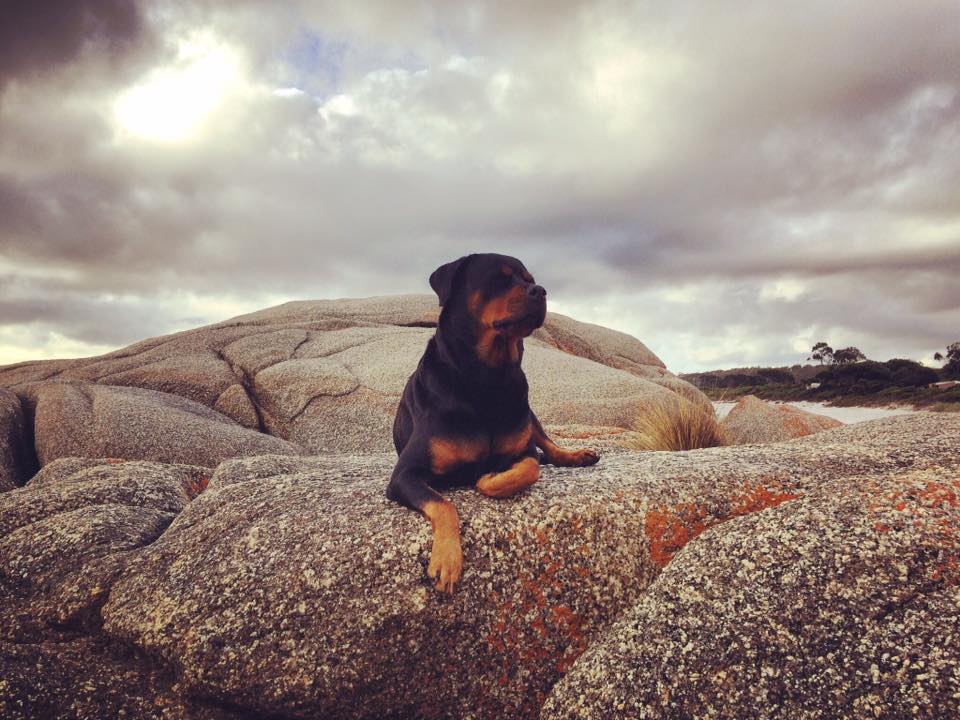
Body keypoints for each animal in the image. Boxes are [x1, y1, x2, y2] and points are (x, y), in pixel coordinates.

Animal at [384, 253, 596, 592]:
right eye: (500, 278)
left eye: (529, 279)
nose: (541, 291)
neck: (487, 378)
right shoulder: (404, 474)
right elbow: (444, 505)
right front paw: (447, 560)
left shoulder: (522, 449)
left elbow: (530, 466)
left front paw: (489, 478)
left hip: (527, 410)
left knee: (547, 443)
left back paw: (577, 455)